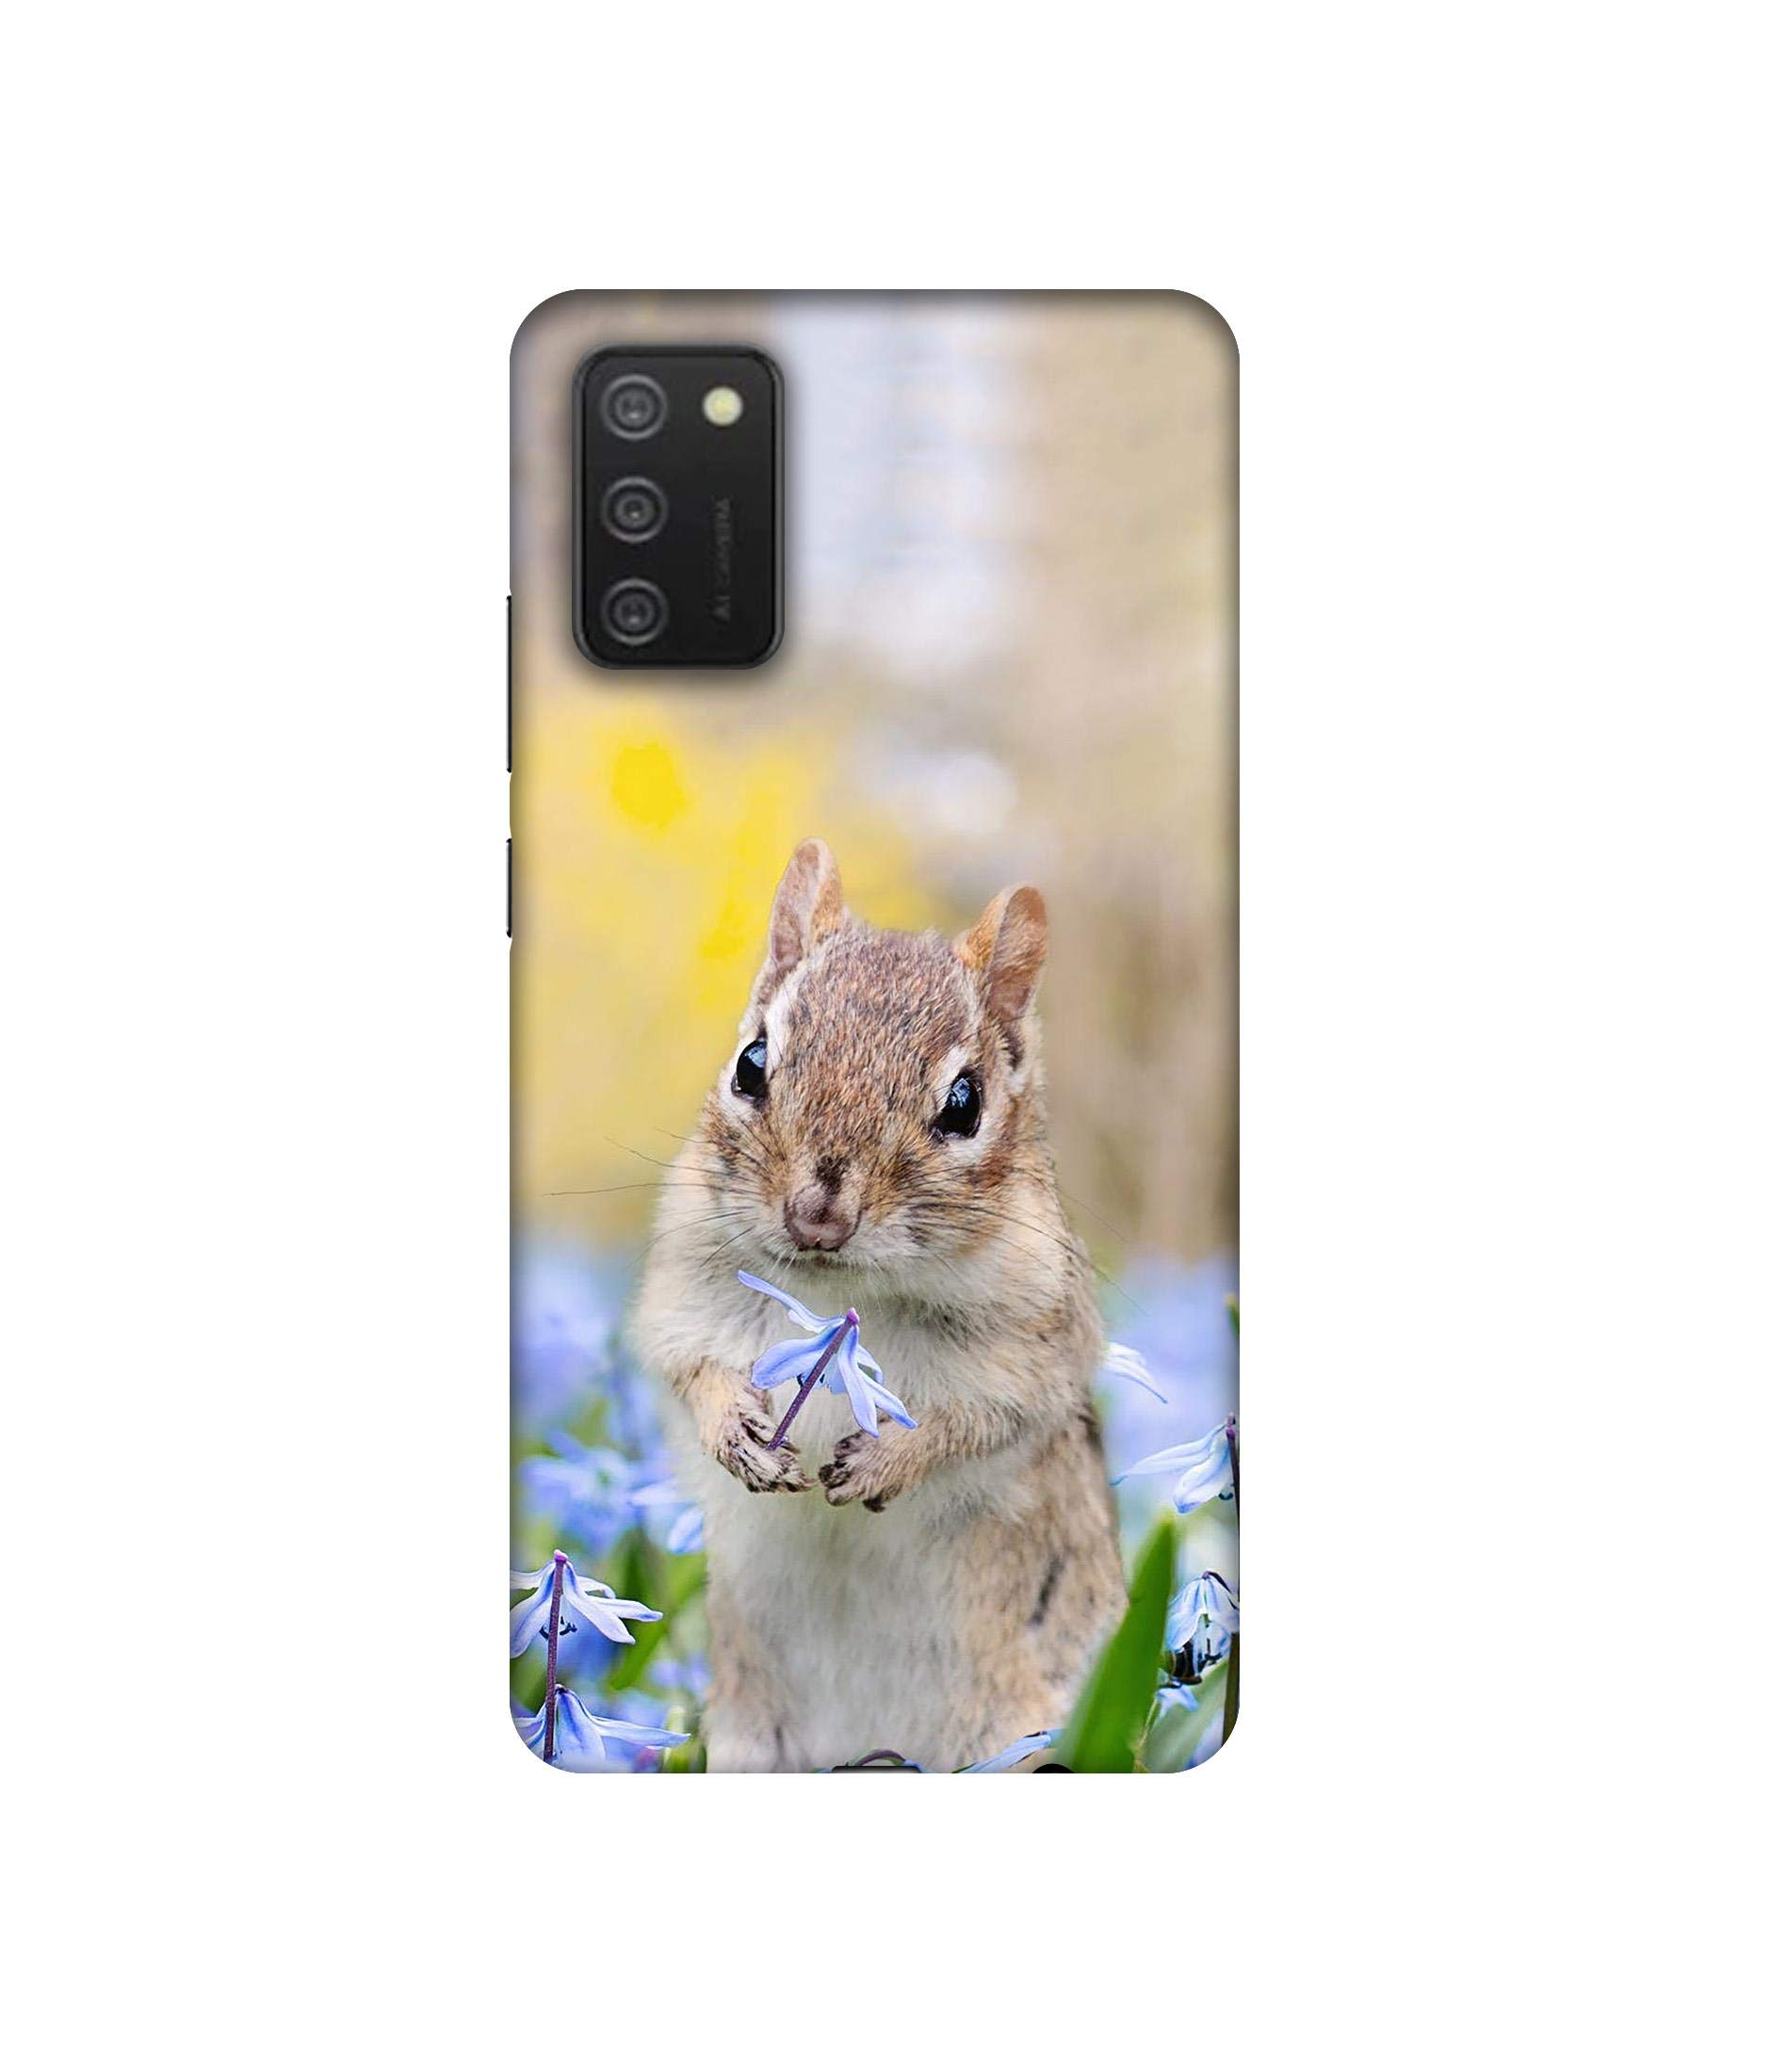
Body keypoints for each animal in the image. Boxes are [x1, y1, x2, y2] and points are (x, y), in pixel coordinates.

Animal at [633, 838, 1126, 1771]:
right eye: (751, 1063)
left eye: (965, 1103)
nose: (816, 1215)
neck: (842, 1295)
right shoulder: (682, 1297)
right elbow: (693, 1371)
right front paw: (739, 1437)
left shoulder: (1034, 1349)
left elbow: (973, 1423)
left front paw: (884, 1461)